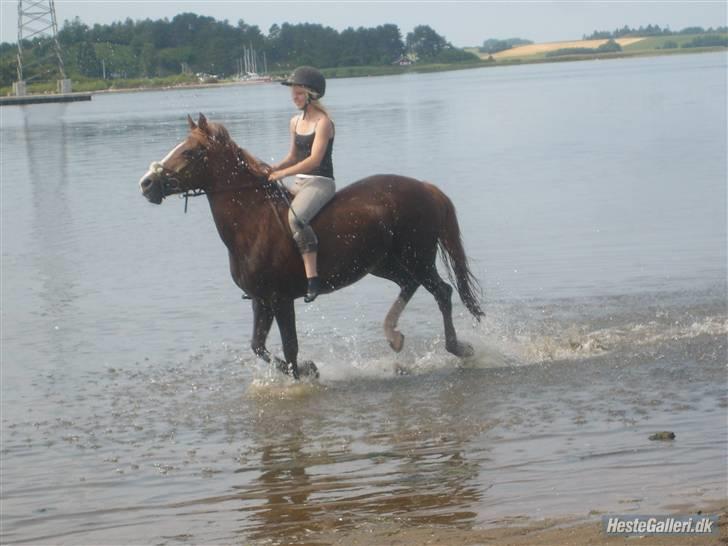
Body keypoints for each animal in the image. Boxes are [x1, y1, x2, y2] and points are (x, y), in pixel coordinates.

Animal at [141, 113, 484, 378]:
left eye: (190, 152)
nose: (147, 184)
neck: (252, 221)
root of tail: (425, 187)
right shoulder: (260, 300)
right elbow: (258, 347)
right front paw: (308, 369)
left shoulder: (280, 299)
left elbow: (290, 350)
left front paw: (308, 372)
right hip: (383, 263)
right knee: (409, 285)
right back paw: (394, 337)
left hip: (417, 258)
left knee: (442, 292)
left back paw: (459, 348)